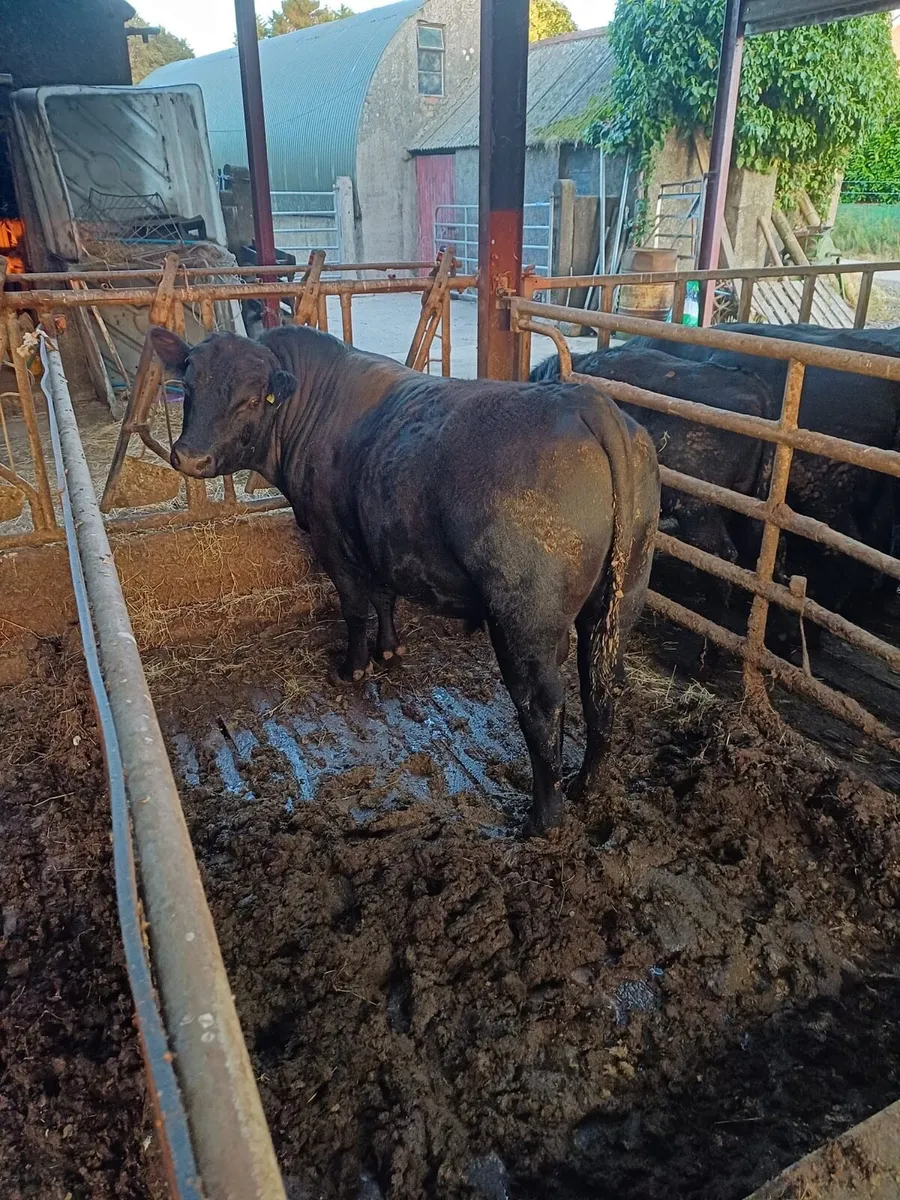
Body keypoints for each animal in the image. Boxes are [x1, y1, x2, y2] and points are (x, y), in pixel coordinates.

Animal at [149, 324, 661, 834]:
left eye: (252, 398)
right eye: (188, 386)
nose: (190, 458)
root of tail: (586, 402)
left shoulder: (332, 537)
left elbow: (355, 606)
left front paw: (353, 668)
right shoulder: (379, 537)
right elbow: (384, 595)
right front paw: (390, 649)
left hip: (524, 620)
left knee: (541, 703)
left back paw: (543, 816)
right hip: (618, 599)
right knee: (602, 684)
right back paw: (586, 782)